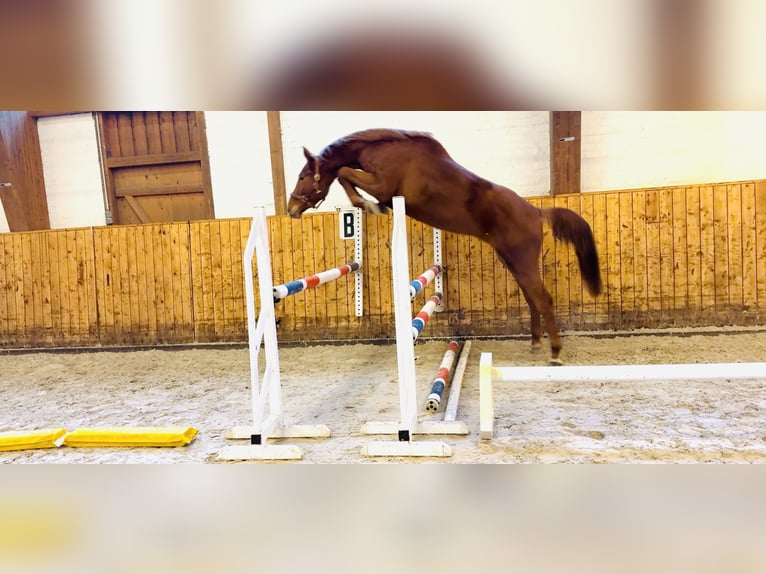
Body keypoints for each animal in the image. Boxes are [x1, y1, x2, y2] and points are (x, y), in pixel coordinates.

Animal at [287, 128, 602, 364]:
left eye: (303, 177)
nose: (291, 208)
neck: (385, 150)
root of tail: (536, 211)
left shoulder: (382, 186)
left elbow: (343, 171)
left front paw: (368, 205)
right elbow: (344, 173)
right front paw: (369, 205)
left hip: (522, 262)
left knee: (543, 299)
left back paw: (555, 354)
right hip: (513, 262)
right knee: (532, 299)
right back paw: (536, 344)